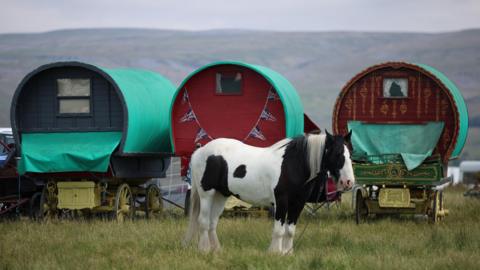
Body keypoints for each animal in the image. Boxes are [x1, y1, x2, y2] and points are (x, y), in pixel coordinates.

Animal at [182, 131, 354, 253]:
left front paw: (287, 253)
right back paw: (204, 250)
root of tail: (200, 151)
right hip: (207, 194)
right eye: (337, 154)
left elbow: (290, 230)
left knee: (212, 223)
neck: (292, 165)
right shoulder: (281, 201)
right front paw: (275, 253)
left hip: (221, 195)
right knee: (203, 221)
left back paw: (216, 250)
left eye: (350, 154)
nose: (348, 182)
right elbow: (279, 229)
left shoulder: (298, 203)